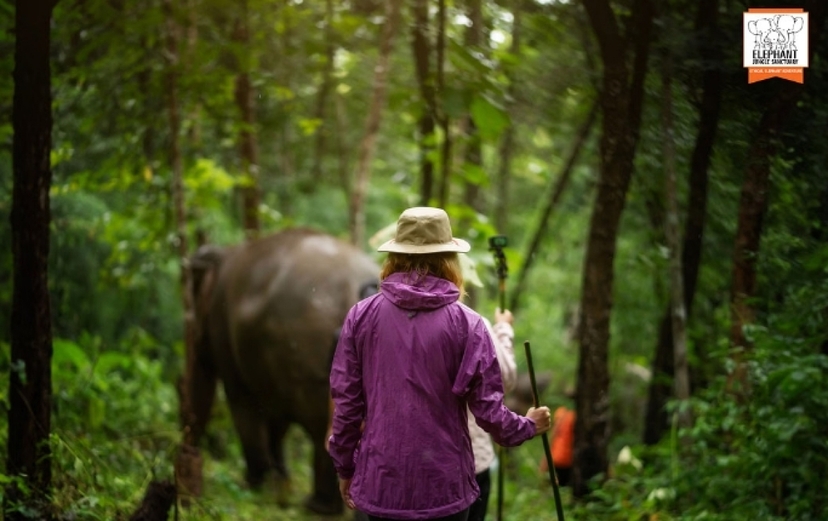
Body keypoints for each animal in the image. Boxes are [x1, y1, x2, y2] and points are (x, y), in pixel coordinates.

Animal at [187, 227, 380, 515]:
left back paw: (318, 506)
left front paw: (254, 486)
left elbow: (243, 403)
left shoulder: (225, 334)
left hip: (307, 353)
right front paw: (279, 482)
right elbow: (275, 417)